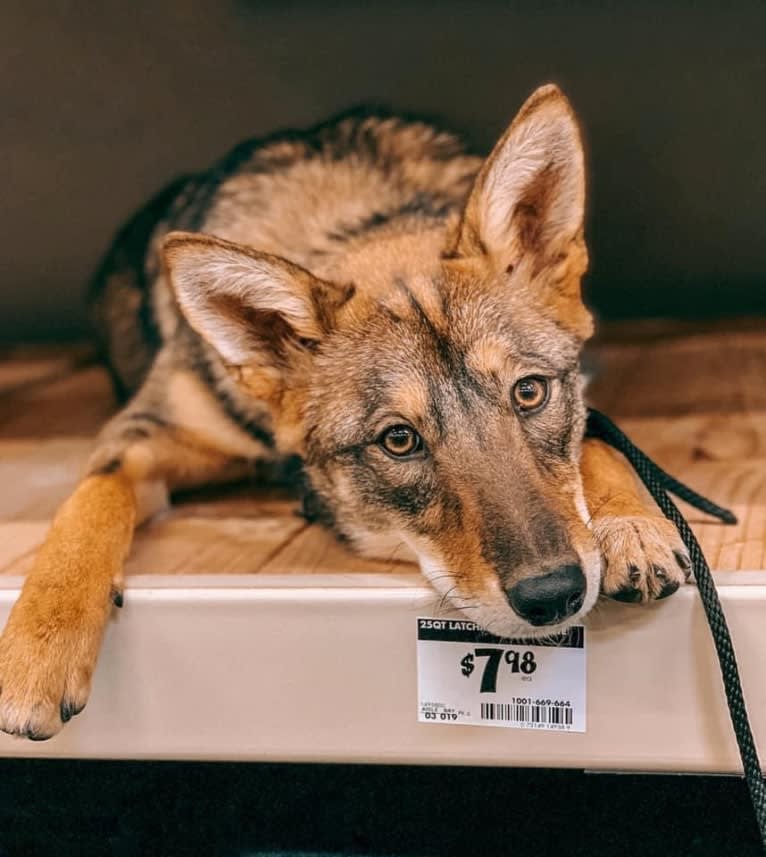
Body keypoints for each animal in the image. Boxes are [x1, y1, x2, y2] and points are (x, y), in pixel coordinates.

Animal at [0, 87, 696, 744]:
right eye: (399, 440)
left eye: (529, 393)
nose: (553, 596)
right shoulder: (137, 438)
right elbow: (85, 513)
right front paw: (35, 652)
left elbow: (599, 444)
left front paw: (631, 523)